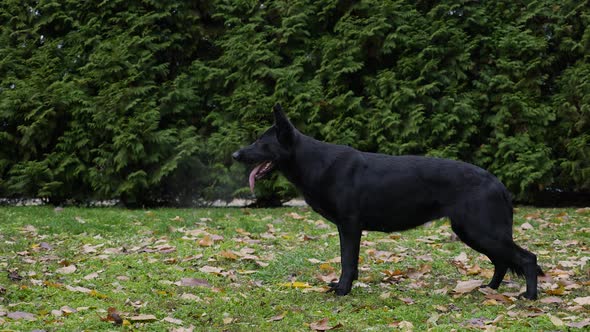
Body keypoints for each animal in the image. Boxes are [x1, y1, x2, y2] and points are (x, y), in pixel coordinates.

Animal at [232, 105, 544, 300]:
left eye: (262, 143)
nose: (235, 155)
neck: (314, 162)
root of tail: (498, 183)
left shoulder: (349, 226)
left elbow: (347, 261)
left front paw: (342, 290)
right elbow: (351, 262)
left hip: (481, 231)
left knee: (526, 258)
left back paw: (529, 296)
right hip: (472, 232)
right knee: (502, 261)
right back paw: (489, 289)